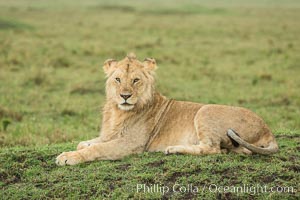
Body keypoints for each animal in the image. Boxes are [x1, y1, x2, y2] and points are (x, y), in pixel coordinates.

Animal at [55, 52, 278, 166]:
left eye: (135, 80)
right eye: (117, 79)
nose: (125, 96)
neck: (117, 111)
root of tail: (267, 129)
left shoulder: (132, 144)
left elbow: (97, 148)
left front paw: (68, 157)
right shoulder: (109, 135)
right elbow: (86, 143)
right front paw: (79, 147)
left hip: (205, 110)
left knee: (213, 149)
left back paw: (173, 149)